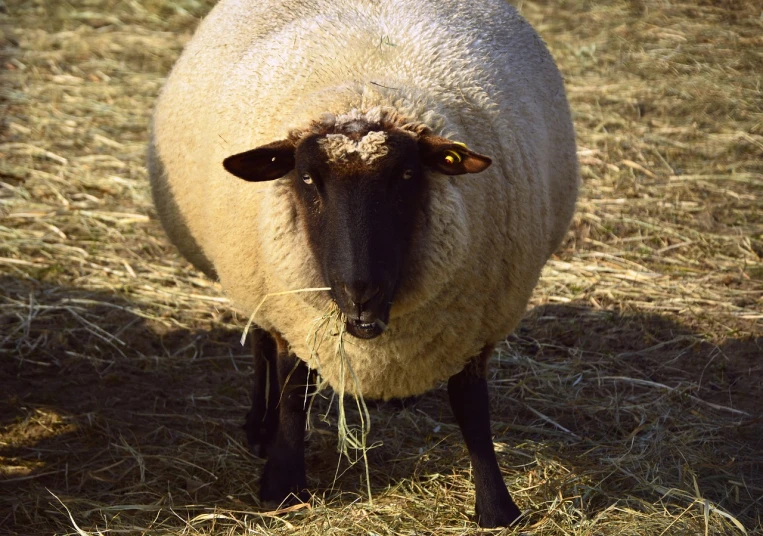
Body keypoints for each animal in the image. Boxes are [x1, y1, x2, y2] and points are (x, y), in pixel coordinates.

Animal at [149, 0, 580, 528]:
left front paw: (497, 507)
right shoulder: (294, 310)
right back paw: (259, 426)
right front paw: (282, 485)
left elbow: (472, 407)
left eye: (408, 174)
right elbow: (294, 388)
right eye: (307, 178)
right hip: (258, 284)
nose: (361, 293)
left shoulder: (476, 321)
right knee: (263, 348)